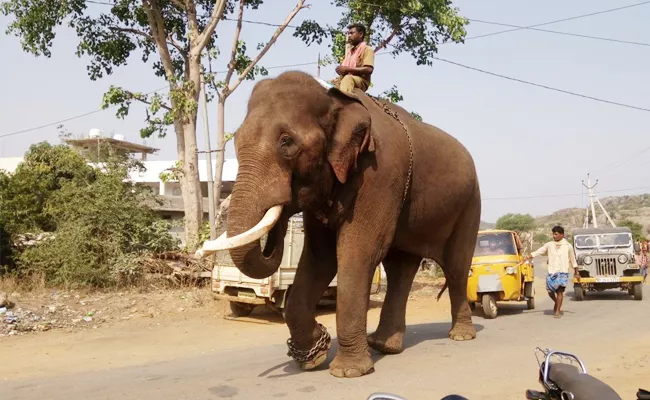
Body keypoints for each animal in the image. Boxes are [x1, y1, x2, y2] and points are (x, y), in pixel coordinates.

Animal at [199, 71, 480, 378]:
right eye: (236, 140)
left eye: (287, 142)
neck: (335, 100)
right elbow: (320, 257)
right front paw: (314, 355)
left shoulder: (379, 175)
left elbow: (358, 253)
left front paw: (348, 372)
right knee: (400, 269)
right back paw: (384, 345)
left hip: (470, 205)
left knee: (455, 268)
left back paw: (461, 336)